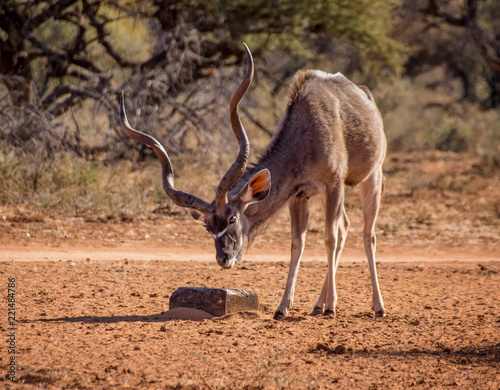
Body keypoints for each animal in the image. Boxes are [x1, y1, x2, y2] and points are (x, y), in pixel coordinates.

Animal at [120, 44, 386, 318]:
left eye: (232, 219)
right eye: (207, 226)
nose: (223, 259)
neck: (307, 130)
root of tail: (367, 99)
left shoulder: (333, 184)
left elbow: (328, 238)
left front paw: (331, 306)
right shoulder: (299, 195)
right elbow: (297, 243)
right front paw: (283, 307)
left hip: (371, 179)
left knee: (366, 234)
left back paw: (376, 307)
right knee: (345, 227)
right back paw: (318, 304)